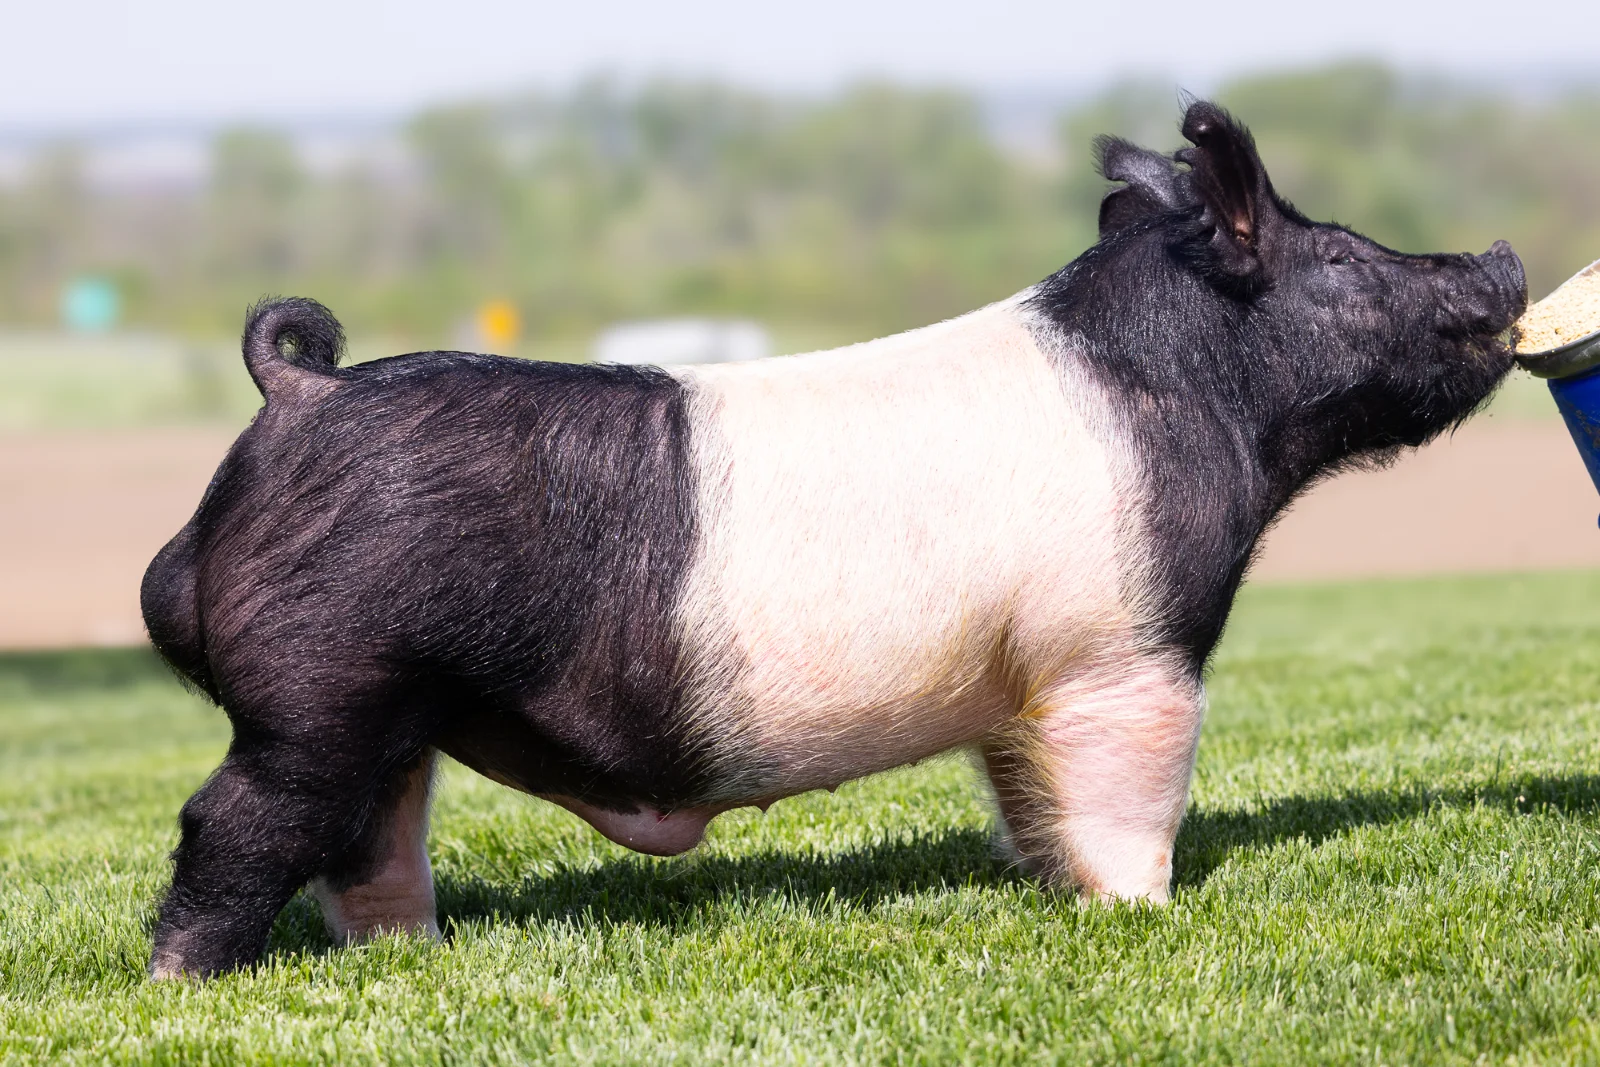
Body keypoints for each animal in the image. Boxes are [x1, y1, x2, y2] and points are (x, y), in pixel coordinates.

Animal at [140, 101, 1527, 977]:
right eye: (1339, 256)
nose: (1504, 255)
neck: (1189, 393)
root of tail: (300, 392)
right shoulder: (1123, 648)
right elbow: (1136, 787)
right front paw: (1145, 911)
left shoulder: (1023, 677)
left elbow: (1028, 798)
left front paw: (1061, 894)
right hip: (321, 686)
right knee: (235, 822)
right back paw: (183, 983)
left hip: (392, 708)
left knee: (372, 840)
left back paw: (412, 956)